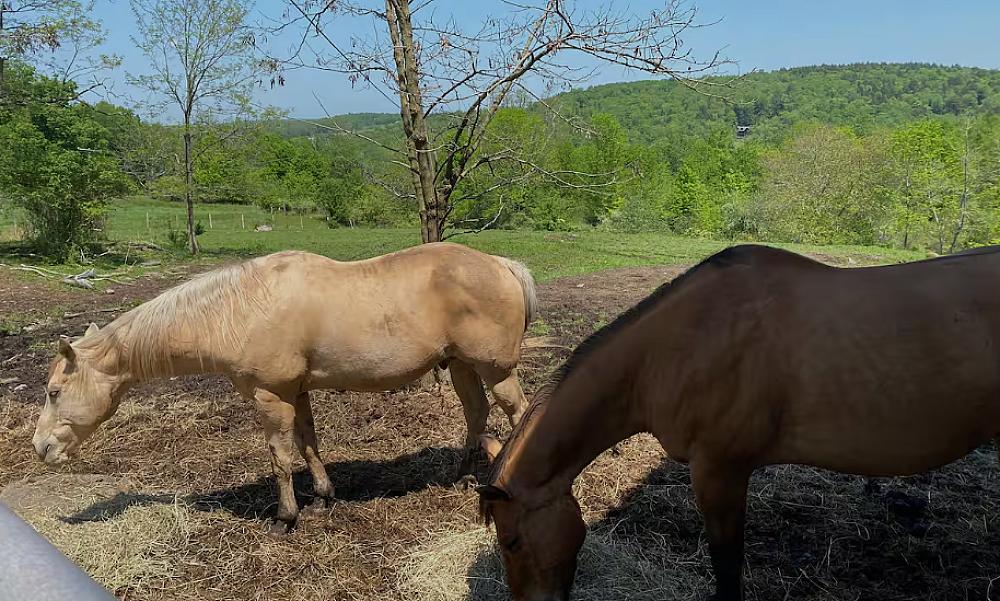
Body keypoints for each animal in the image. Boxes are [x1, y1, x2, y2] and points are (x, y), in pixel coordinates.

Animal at [32, 242, 537, 532]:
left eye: (54, 392)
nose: (41, 448)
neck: (239, 310)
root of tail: (502, 265)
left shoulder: (271, 397)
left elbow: (280, 457)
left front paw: (285, 517)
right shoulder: (298, 393)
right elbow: (309, 444)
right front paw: (323, 499)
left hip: (496, 370)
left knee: (517, 412)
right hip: (462, 367)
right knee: (476, 414)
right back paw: (461, 475)